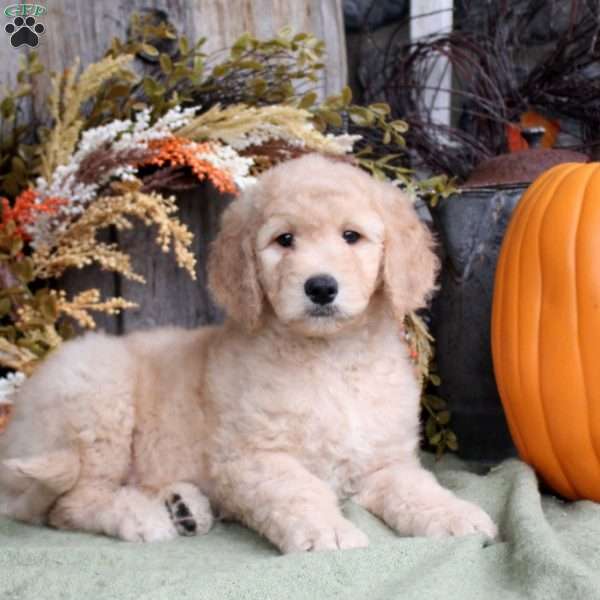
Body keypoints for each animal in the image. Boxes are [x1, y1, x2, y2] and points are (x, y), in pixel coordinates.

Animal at [0, 155, 496, 552]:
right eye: (284, 240)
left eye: (351, 236)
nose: (320, 287)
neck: (329, 359)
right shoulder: (252, 459)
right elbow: (300, 490)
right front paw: (329, 531)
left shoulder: (384, 462)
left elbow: (419, 490)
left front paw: (457, 516)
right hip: (97, 396)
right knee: (69, 504)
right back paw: (145, 517)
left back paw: (183, 507)